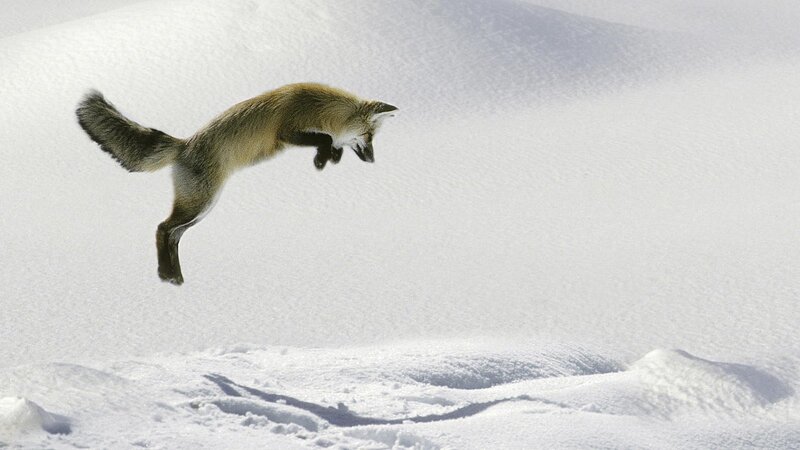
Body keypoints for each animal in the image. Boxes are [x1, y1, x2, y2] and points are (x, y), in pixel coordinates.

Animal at [76, 83, 397, 285]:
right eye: (368, 136)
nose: (372, 161)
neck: (320, 107)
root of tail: (184, 144)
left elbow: (331, 143)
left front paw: (329, 158)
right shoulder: (286, 131)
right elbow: (326, 138)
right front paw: (323, 158)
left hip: (203, 208)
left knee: (174, 235)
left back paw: (174, 277)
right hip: (200, 203)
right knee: (162, 228)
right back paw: (167, 275)